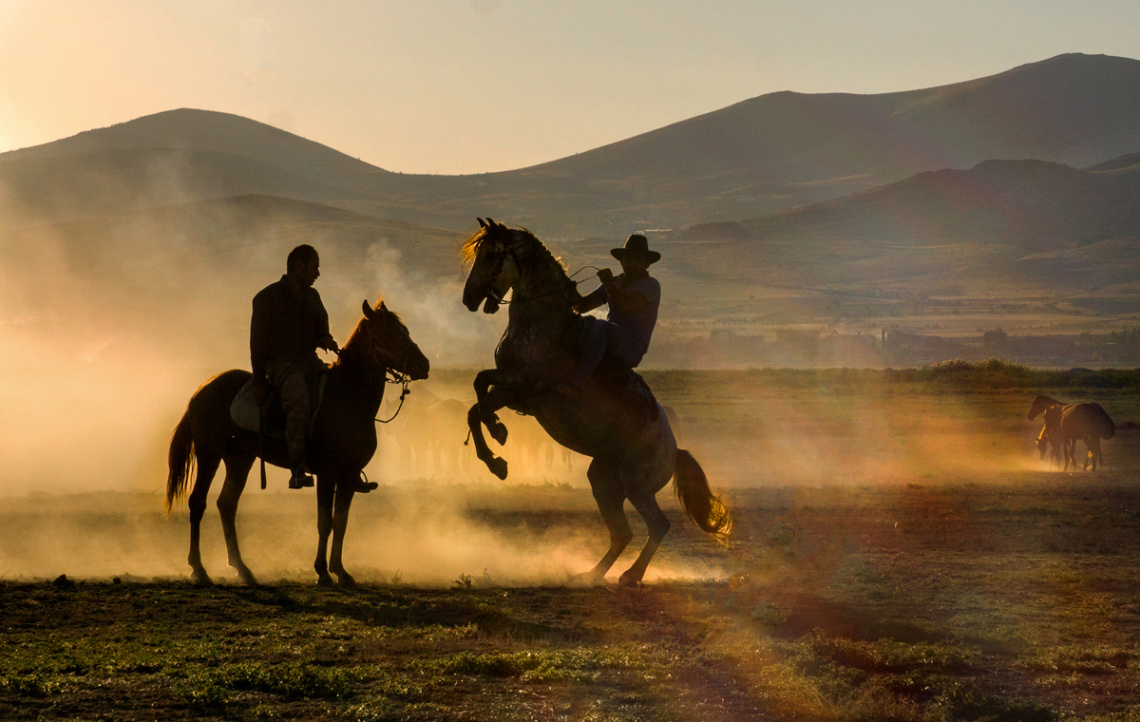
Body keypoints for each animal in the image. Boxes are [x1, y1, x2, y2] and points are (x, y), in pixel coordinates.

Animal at [163, 298, 426, 583]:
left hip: (239, 458)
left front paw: (341, 571)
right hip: (209, 454)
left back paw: (242, 568)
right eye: (388, 333)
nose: (424, 365)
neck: (349, 399)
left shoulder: (348, 475)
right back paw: (199, 569)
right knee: (198, 502)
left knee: (227, 505)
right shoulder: (328, 473)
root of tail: (203, 388)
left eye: (405, 331)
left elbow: (341, 523)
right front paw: (322, 571)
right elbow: (325, 522)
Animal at [460, 216, 729, 583]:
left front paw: (498, 436)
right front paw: (496, 457)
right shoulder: (515, 392)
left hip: (637, 483)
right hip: (603, 479)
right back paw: (591, 574)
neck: (543, 324)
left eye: (490, 255)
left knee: (658, 525)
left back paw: (631, 575)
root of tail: (675, 450)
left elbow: (480, 388)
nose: (469, 299)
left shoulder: (528, 383)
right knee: (622, 533)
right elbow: (476, 405)